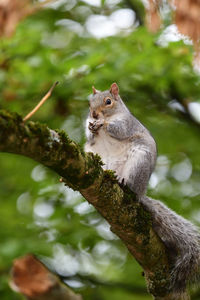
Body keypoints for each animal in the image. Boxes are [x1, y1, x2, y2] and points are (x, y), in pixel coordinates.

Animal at [85, 82, 200, 300]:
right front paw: (91, 127)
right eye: (89, 103)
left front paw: (102, 124)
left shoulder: (127, 123)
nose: (94, 114)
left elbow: (118, 128)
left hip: (138, 161)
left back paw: (122, 181)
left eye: (108, 101)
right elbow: (89, 137)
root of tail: (140, 193)